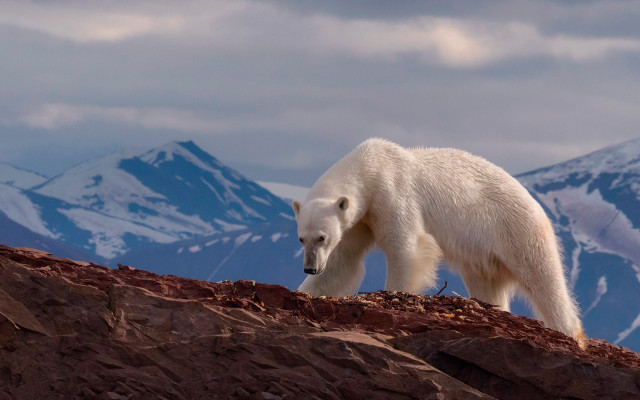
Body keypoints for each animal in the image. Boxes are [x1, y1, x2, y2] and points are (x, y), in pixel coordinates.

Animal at [292, 138, 583, 343]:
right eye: (301, 239)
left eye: (322, 237)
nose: (310, 267)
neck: (371, 166)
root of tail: (535, 203)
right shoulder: (360, 219)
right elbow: (343, 262)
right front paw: (305, 291)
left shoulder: (392, 193)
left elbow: (406, 248)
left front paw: (393, 295)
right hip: (483, 255)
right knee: (487, 284)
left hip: (517, 230)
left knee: (543, 280)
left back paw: (568, 332)